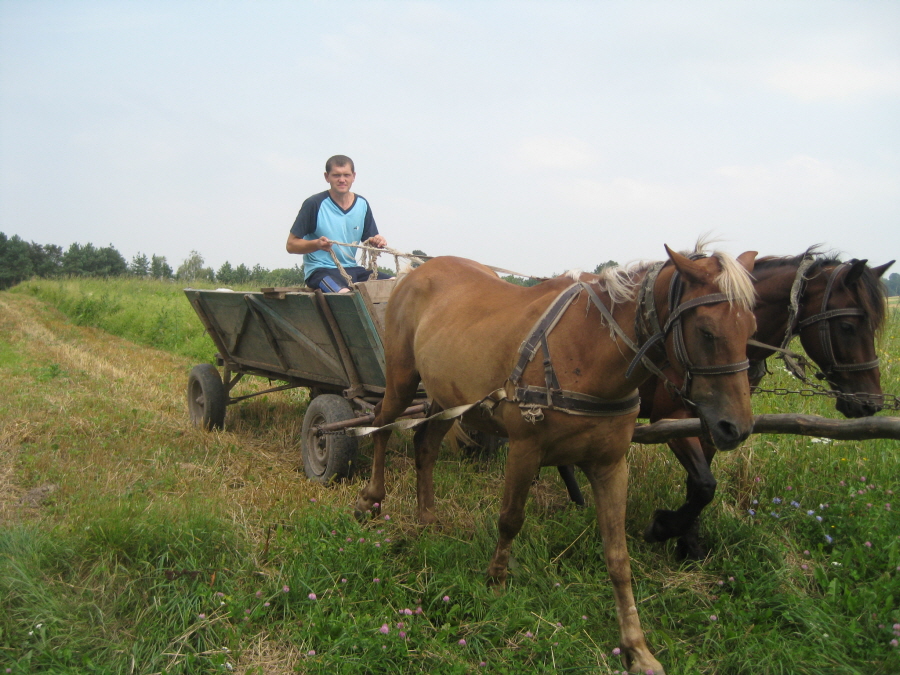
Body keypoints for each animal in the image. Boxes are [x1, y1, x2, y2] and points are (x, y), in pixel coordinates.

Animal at [358, 248, 760, 675]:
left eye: (750, 328)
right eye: (706, 331)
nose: (736, 427)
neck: (589, 351)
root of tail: (417, 271)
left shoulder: (610, 465)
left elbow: (618, 556)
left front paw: (636, 647)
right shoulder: (524, 448)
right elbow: (510, 519)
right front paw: (496, 581)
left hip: (448, 398)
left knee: (425, 445)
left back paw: (427, 518)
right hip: (401, 378)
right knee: (381, 426)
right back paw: (371, 499)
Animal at [560, 248, 888, 560]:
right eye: (847, 326)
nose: (870, 403)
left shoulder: (717, 424)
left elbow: (698, 484)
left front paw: (689, 544)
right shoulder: (672, 419)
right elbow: (705, 485)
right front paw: (664, 528)